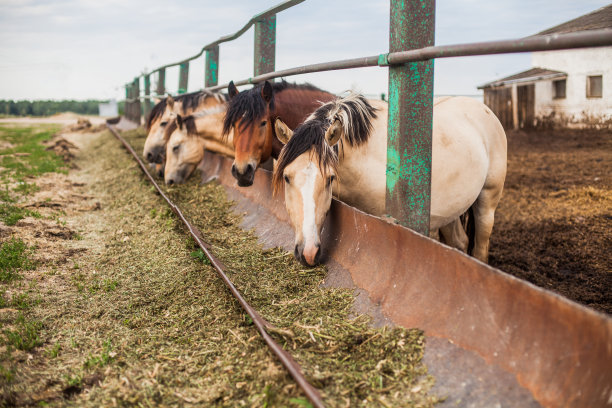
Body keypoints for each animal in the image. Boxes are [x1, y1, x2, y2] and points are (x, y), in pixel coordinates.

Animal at [272, 92, 506, 266]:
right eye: (286, 177)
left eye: (330, 178)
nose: (308, 253)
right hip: (451, 210)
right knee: (460, 242)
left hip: (487, 203)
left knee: (480, 248)